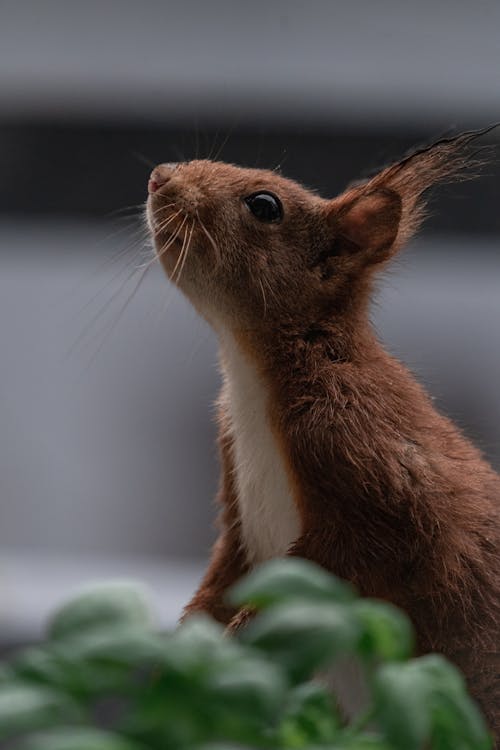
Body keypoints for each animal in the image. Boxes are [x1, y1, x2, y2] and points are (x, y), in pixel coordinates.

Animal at [146, 131, 500, 740]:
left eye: (265, 205)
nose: (160, 176)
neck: (251, 376)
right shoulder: (235, 493)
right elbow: (225, 569)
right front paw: (187, 640)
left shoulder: (364, 454)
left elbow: (339, 562)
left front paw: (242, 634)